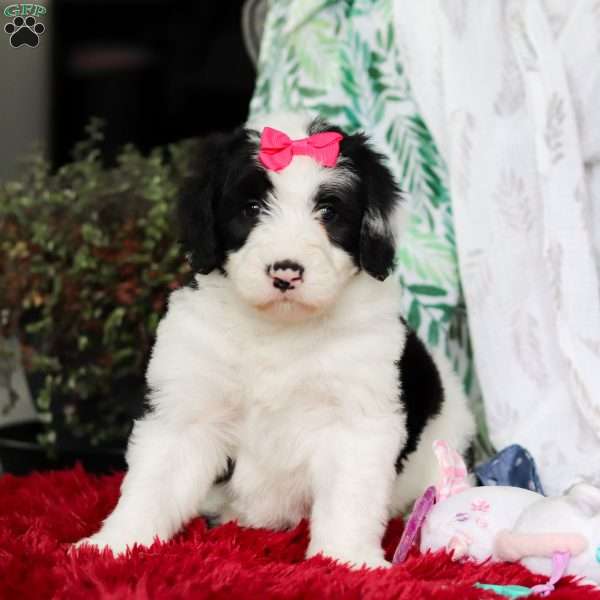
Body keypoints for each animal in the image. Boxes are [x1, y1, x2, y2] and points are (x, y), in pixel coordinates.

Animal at [79, 112, 474, 568]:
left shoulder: (357, 415)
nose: (286, 272)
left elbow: (349, 496)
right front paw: (114, 545)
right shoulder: (187, 404)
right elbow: (153, 481)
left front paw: (344, 560)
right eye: (251, 209)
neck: (279, 331)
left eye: (328, 211)